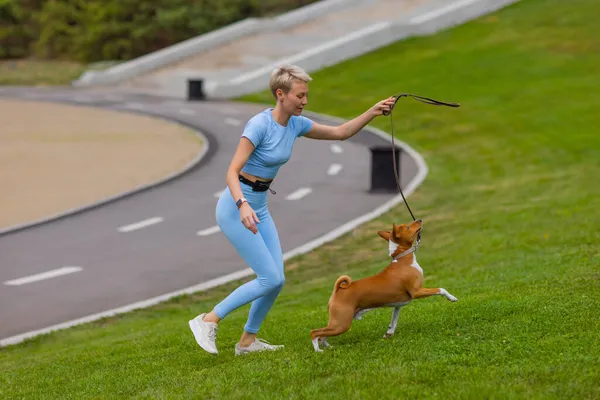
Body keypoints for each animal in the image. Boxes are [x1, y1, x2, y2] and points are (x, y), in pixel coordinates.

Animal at [312, 219, 458, 354]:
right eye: (408, 227)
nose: (419, 220)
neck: (402, 259)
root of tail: (337, 291)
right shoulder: (417, 292)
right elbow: (441, 289)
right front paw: (452, 298)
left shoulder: (398, 305)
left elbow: (394, 321)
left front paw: (389, 333)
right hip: (341, 324)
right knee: (314, 332)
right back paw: (318, 351)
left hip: (337, 323)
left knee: (322, 335)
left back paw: (328, 347)